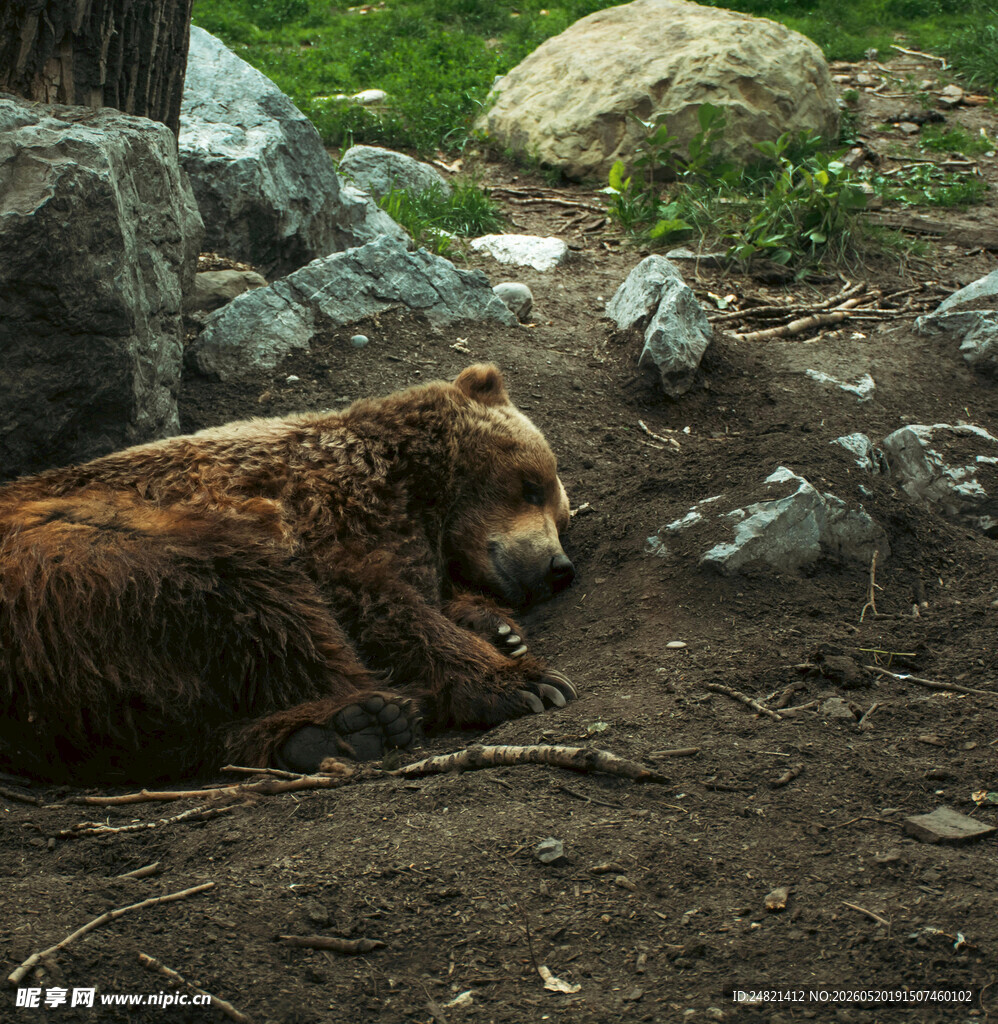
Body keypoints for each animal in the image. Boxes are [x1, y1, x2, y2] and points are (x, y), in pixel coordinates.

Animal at [0, 365, 576, 783]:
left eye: (562, 517)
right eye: (531, 485)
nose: (559, 567)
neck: (418, 489)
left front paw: (499, 630)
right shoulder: (330, 511)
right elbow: (378, 604)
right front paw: (525, 681)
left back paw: (329, 733)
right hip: (101, 551)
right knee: (256, 601)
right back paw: (364, 715)